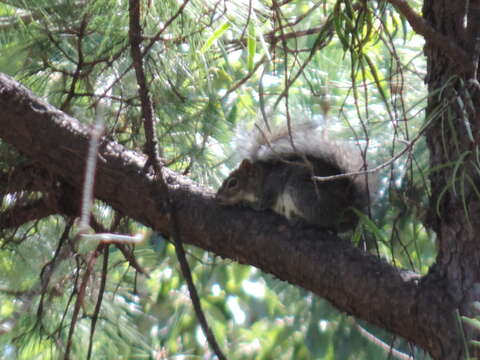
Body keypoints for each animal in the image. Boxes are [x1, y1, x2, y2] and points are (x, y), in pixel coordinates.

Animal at [216, 122, 370, 232]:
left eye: (233, 183)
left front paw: (243, 203)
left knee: (324, 222)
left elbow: (260, 205)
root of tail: (348, 206)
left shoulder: (271, 188)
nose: (218, 198)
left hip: (302, 191)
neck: (261, 178)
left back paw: (304, 221)